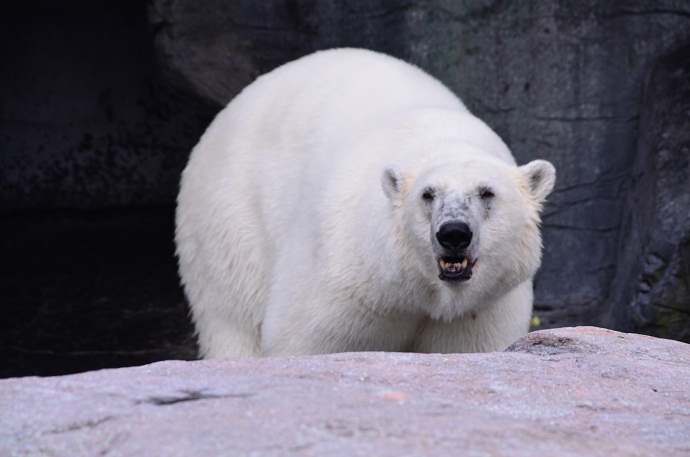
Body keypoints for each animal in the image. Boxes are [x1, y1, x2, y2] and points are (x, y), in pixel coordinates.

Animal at [176, 48, 552, 358]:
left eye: (487, 193)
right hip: (230, 217)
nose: (454, 233)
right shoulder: (348, 278)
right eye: (427, 194)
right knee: (231, 316)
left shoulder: (483, 307)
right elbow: (301, 338)